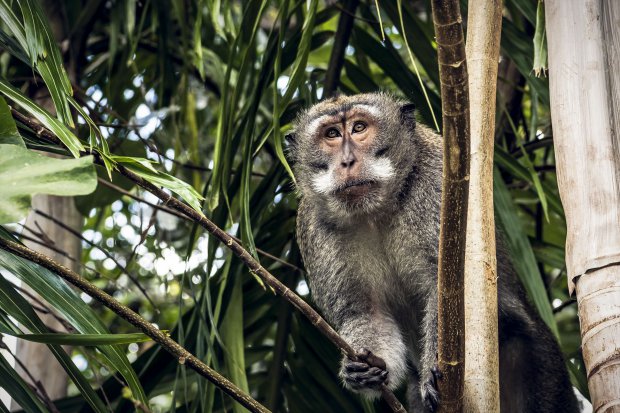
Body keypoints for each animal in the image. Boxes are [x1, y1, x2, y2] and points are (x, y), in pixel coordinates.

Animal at [286, 92, 580, 412]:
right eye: (331, 134)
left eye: (359, 127)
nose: (347, 161)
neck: (377, 211)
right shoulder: (313, 229)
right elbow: (365, 311)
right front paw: (365, 369)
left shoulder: (437, 182)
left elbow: (451, 289)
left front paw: (431, 371)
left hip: (541, 363)